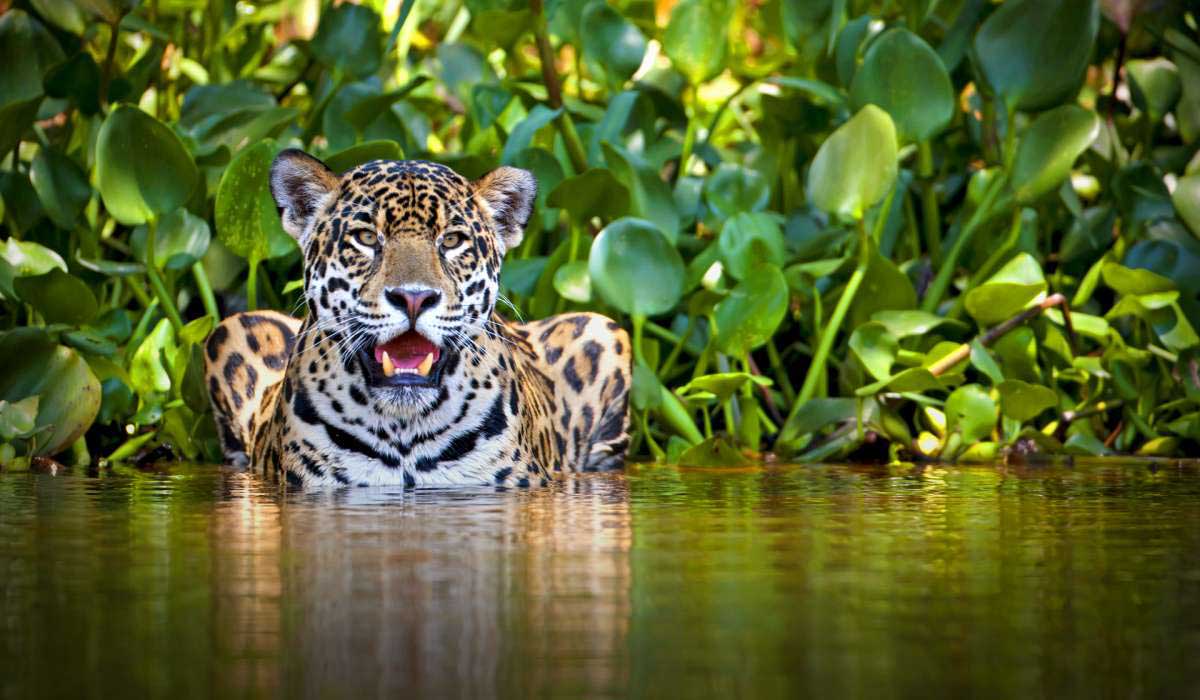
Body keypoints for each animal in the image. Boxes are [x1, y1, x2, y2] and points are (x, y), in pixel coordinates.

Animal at [203, 150, 632, 488]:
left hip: (604, 329)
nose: (413, 297)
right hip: (234, 327)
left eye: (452, 241)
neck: (403, 429)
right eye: (366, 237)